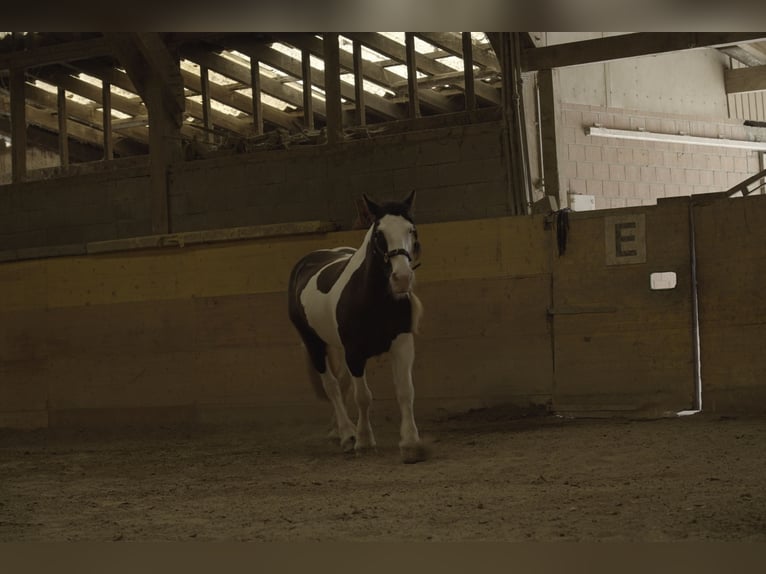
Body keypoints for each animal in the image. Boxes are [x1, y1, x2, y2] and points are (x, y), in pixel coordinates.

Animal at [290, 191, 432, 466]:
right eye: (379, 233)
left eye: (411, 230)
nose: (402, 278)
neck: (373, 298)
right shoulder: (355, 354)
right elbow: (363, 397)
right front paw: (364, 441)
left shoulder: (402, 344)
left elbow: (405, 391)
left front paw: (411, 444)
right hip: (314, 345)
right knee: (333, 387)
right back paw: (347, 435)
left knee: (343, 384)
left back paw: (339, 430)